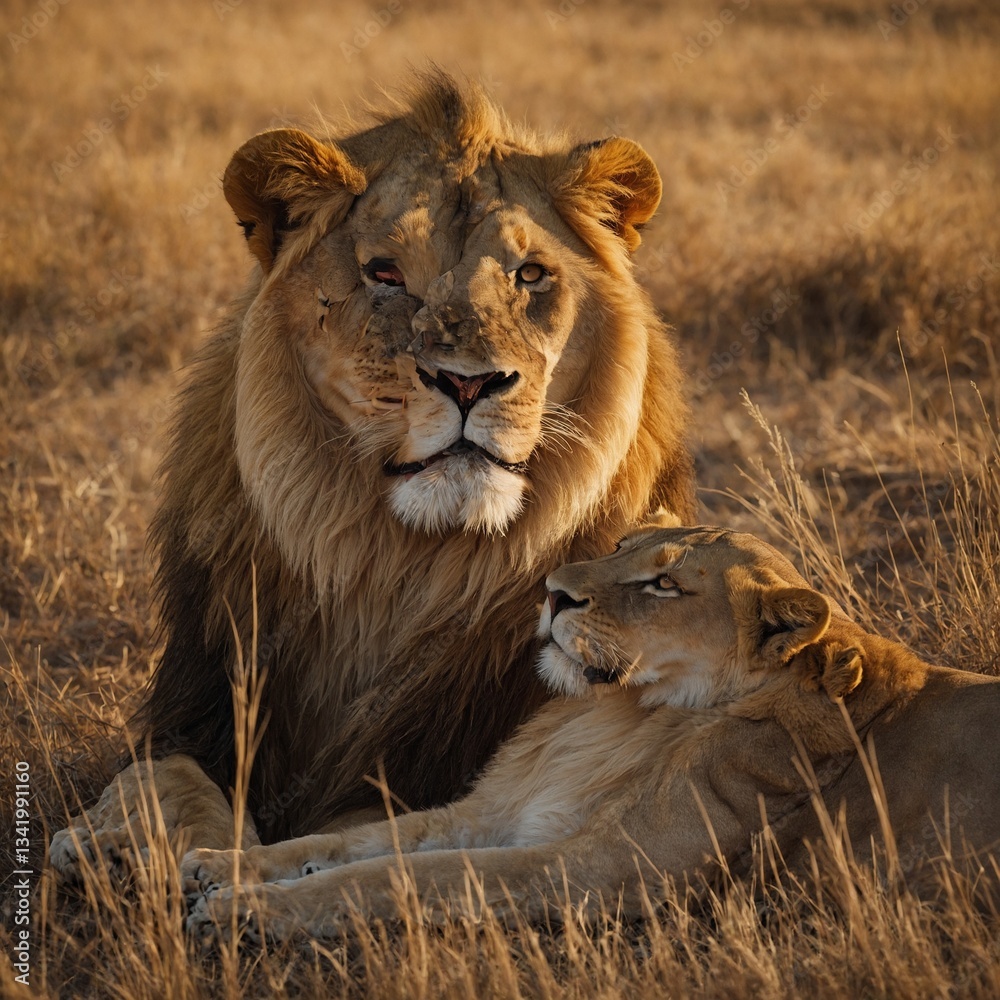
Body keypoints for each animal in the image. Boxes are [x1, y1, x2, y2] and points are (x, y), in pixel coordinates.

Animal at [48, 73, 696, 877]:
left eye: (530, 275)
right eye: (386, 274)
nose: (470, 382)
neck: (398, 569)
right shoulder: (202, 707)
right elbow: (161, 774)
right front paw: (124, 844)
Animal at [181, 525, 1000, 945]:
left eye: (664, 583)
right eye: (619, 547)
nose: (552, 592)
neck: (621, 716)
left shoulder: (591, 871)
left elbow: (395, 877)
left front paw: (240, 910)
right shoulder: (500, 812)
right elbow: (352, 843)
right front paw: (217, 865)